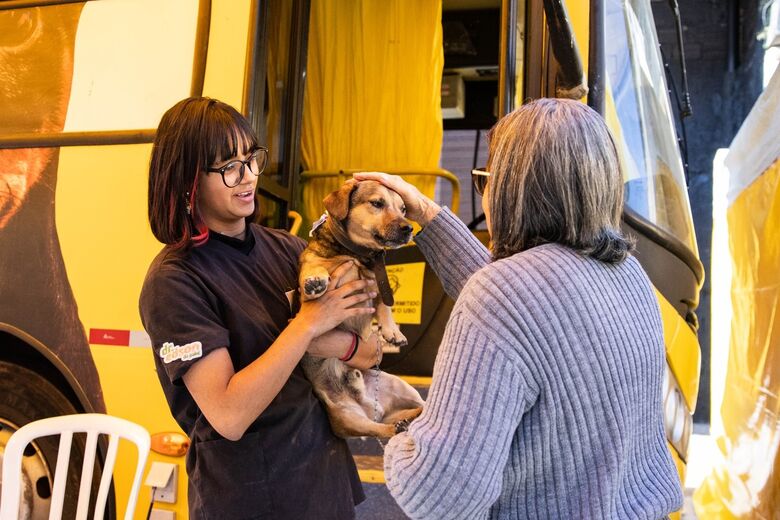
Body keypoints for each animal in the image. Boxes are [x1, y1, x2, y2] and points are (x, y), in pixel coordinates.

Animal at [298, 180, 424, 438]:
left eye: (403, 209)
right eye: (377, 203)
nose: (408, 228)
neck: (356, 254)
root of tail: (371, 408)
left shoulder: (378, 282)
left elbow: (385, 306)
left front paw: (393, 332)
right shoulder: (307, 279)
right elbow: (314, 266)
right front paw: (314, 280)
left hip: (401, 386)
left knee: (423, 407)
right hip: (346, 417)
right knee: (383, 430)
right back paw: (401, 424)